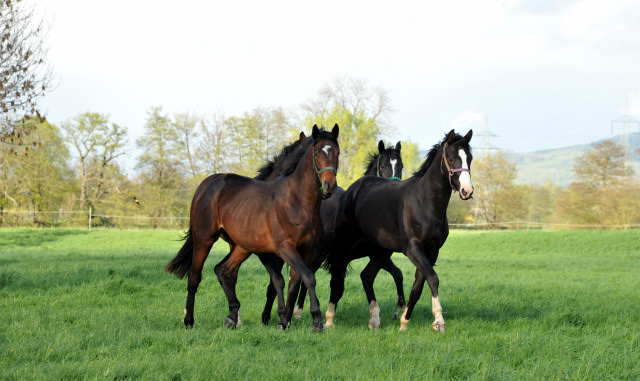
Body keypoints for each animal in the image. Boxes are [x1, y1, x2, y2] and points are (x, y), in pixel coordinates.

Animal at [168, 124, 342, 330]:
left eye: (337, 152)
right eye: (316, 152)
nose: (329, 186)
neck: (296, 202)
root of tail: (207, 183)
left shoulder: (306, 250)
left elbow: (295, 282)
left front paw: (285, 321)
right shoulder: (283, 248)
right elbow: (301, 279)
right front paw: (315, 320)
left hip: (241, 246)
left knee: (224, 270)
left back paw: (232, 316)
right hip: (204, 239)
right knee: (194, 277)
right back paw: (189, 320)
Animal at [262, 140, 408, 324]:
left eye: (401, 166)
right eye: (382, 166)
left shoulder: (375, 254)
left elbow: (397, 274)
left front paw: (400, 309)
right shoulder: (340, 255)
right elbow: (335, 283)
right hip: (315, 254)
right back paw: (294, 312)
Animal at [324, 129, 470, 332]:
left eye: (469, 158)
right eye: (451, 158)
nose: (467, 190)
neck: (424, 203)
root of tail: (352, 190)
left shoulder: (431, 251)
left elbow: (418, 286)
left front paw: (404, 321)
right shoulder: (413, 249)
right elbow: (433, 278)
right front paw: (439, 320)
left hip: (381, 252)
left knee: (367, 276)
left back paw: (374, 319)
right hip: (345, 246)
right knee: (337, 278)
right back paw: (328, 319)